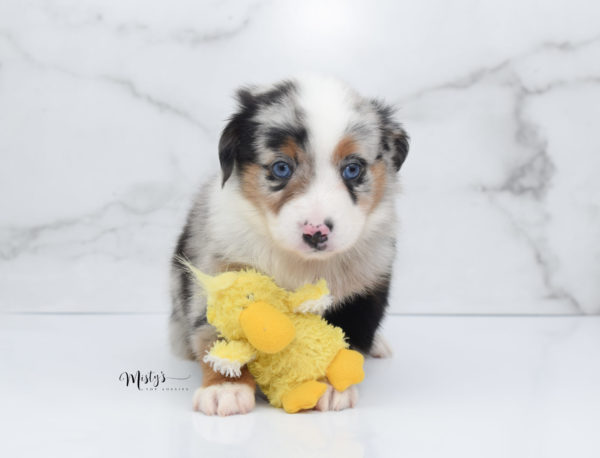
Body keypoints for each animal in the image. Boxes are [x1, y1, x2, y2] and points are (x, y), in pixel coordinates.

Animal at [171, 74, 410, 416]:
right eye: (281, 168)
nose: (316, 232)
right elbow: (218, 333)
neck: (300, 262)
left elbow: (342, 336)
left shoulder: (366, 286)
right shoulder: (221, 264)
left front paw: (329, 387)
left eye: (353, 169)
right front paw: (225, 389)